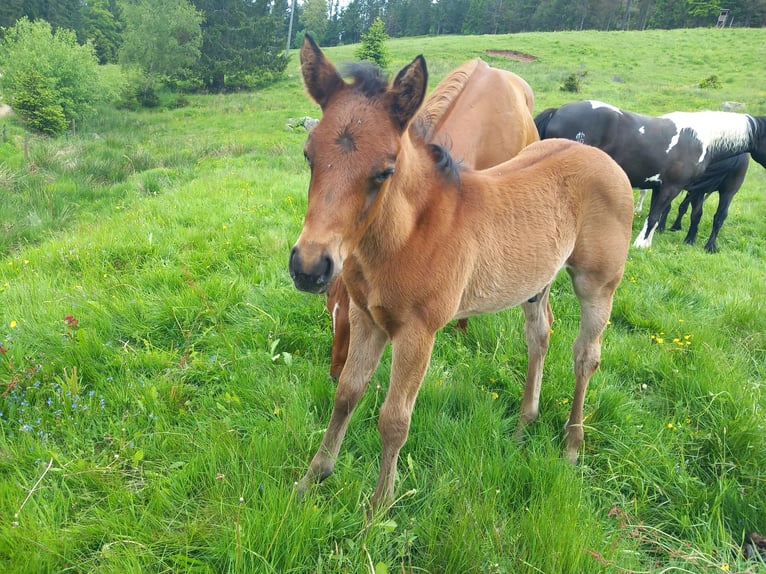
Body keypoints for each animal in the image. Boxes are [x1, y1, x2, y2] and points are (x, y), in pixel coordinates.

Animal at [533, 100, 766, 248]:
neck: (701, 139)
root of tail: (558, 111)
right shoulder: (672, 188)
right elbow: (655, 216)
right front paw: (639, 245)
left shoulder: (659, 187)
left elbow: (654, 217)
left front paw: (646, 243)